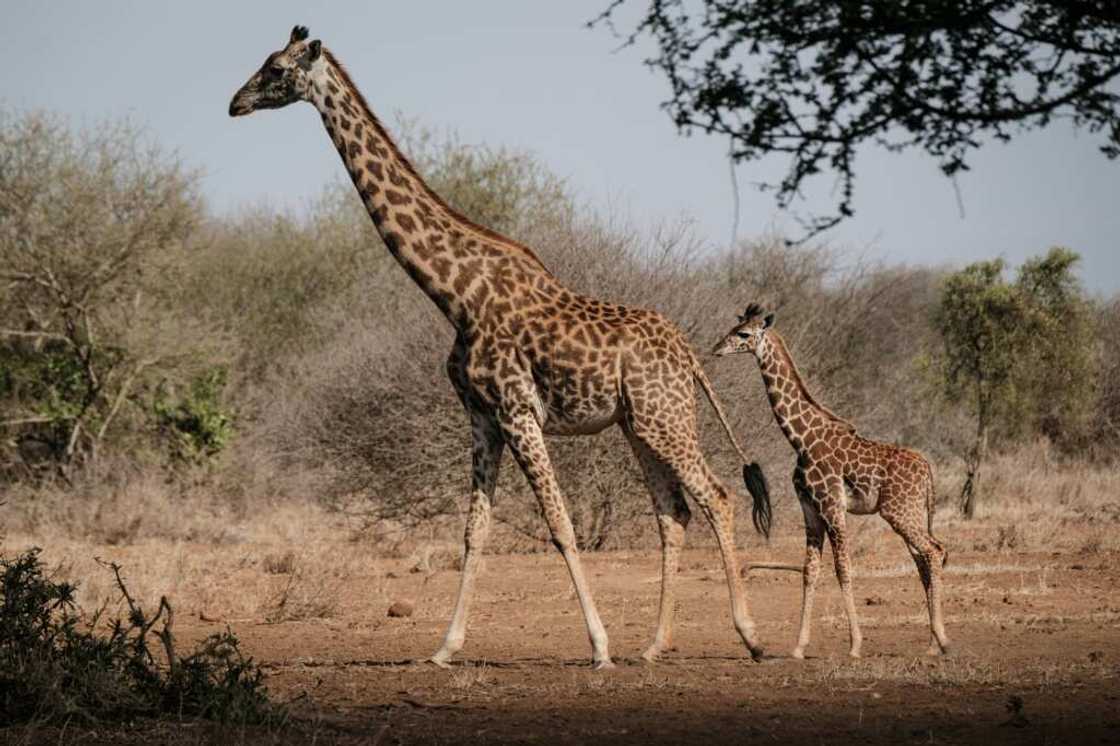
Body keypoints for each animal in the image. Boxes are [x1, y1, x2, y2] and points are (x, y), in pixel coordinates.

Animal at [229, 26, 770, 663]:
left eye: (277, 69)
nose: (235, 103)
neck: (455, 293)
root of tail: (688, 354)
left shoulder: (517, 410)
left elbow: (559, 523)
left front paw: (599, 646)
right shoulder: (482, 416)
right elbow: (474, 531)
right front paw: (445, 647)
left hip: (666, 418)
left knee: (717, 497)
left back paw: (749, 636)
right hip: (638, 424)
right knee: (674, 511)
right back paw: (654, 645)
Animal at [712, 304, 949, 658]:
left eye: (743, 333)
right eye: (734, 327)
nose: (716, 349)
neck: (801, 439)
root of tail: (927, 470)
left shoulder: (832, 504)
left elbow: (843, 568)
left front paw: (855, 645)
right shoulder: (810, 508)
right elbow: (810, 571)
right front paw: (798, 647)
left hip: (899, 511)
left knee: (933, 552)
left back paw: (943, 640)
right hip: (911, 513)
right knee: (925, 557)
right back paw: (932, 643)